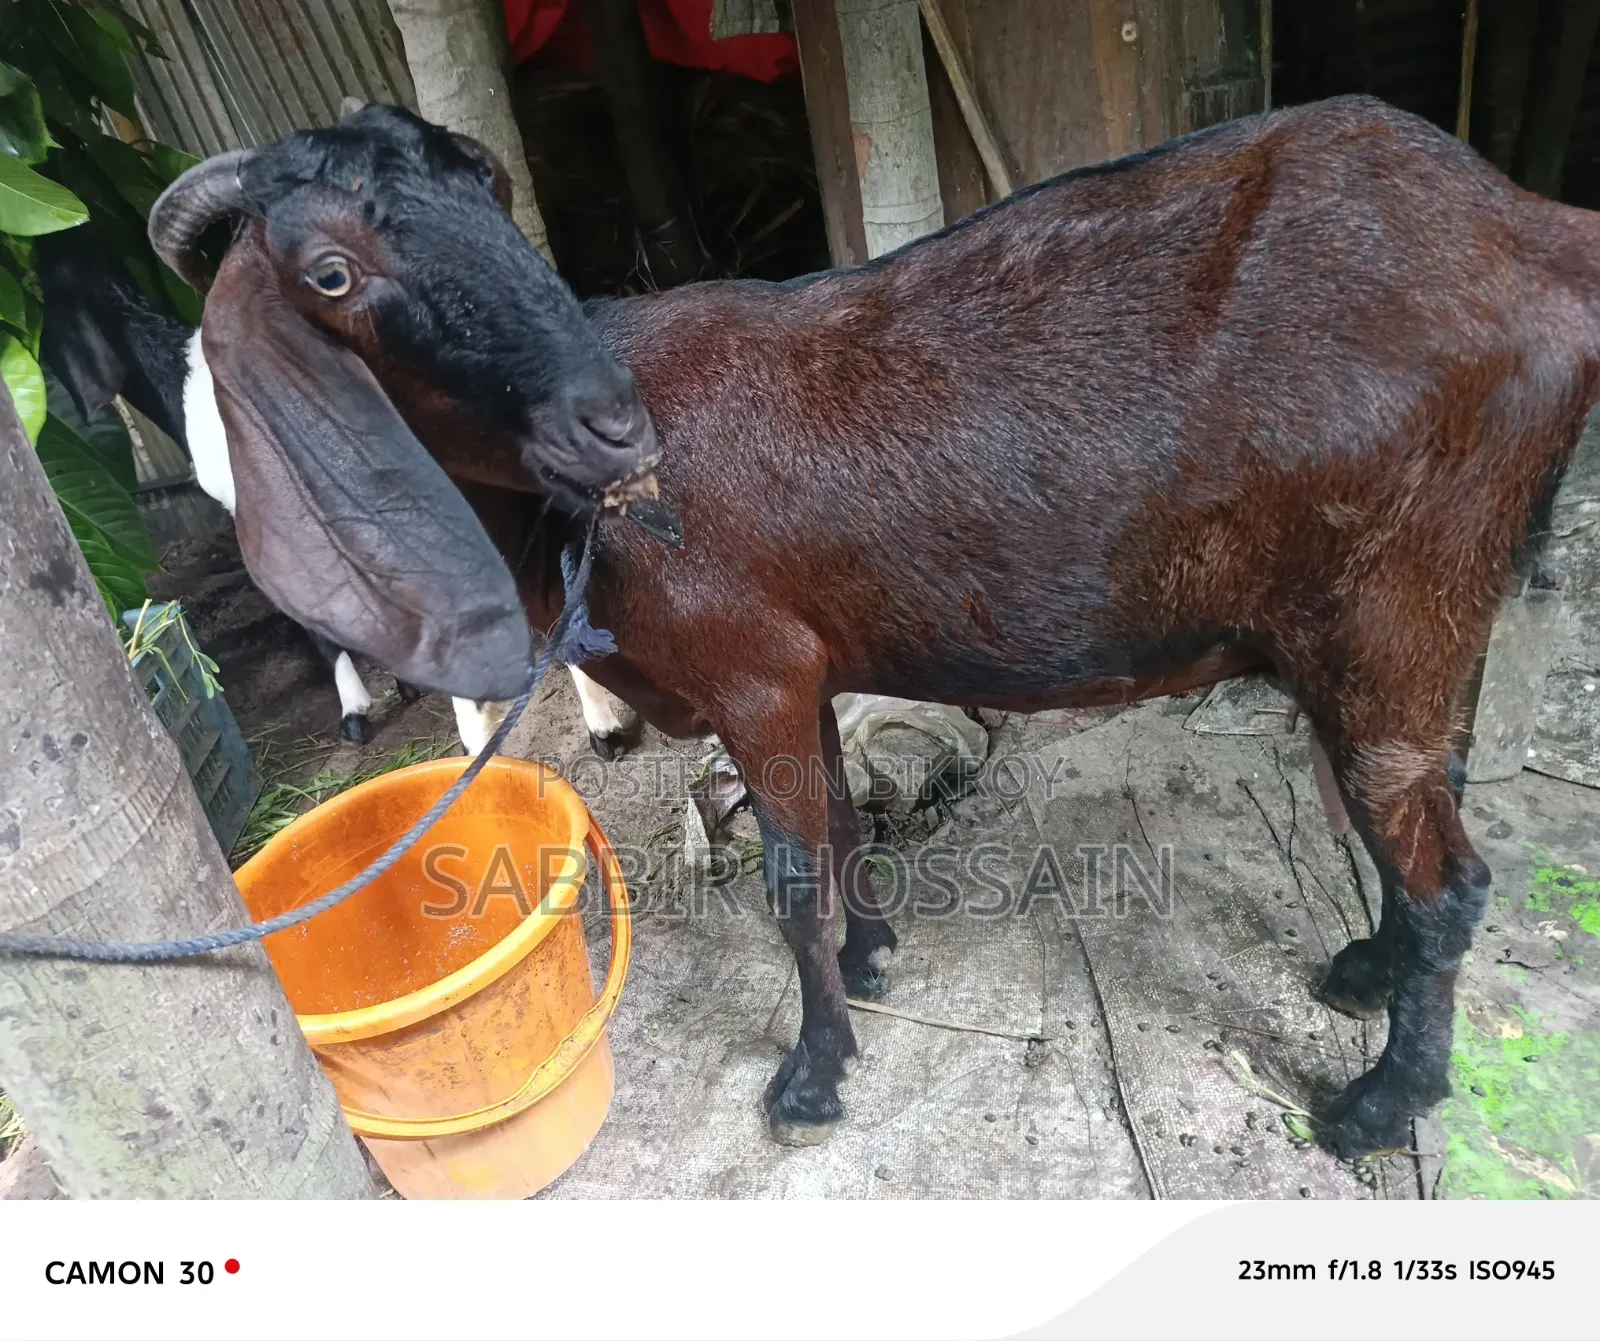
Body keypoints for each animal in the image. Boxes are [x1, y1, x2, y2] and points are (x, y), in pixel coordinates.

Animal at [153, 97, 1600, 1159]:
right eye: (330, 271)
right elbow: (841, 826)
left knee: (1451, 875)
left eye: (494, 193)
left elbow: (790, 874)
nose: (612, 423)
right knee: (1417, 814)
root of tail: (1534, 230)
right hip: (1415, 619)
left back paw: (1375, 1106)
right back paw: (1365, 972)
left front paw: (811, 1076)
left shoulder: (750, 668)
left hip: (1390, 604)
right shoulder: (803, 671)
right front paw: (872, 956)